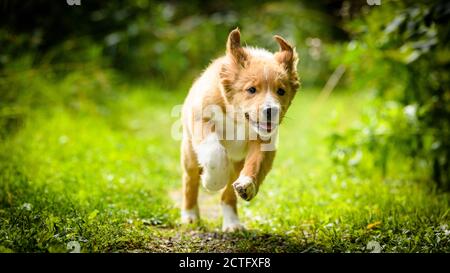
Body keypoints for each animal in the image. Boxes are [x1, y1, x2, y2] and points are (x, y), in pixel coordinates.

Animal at [179, 27, 298, 231]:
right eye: (251, 89)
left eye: (281, 91)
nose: (271, 111)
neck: (239, 120)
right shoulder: (202, 121)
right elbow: (215, 153)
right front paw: (212, 181)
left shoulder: (265, 141)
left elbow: (256, 163)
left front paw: (247, 185)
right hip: (189, 153)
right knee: (190, 181)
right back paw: (190, 215)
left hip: (236, 164)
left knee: (228, 195)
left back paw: (232, 223)